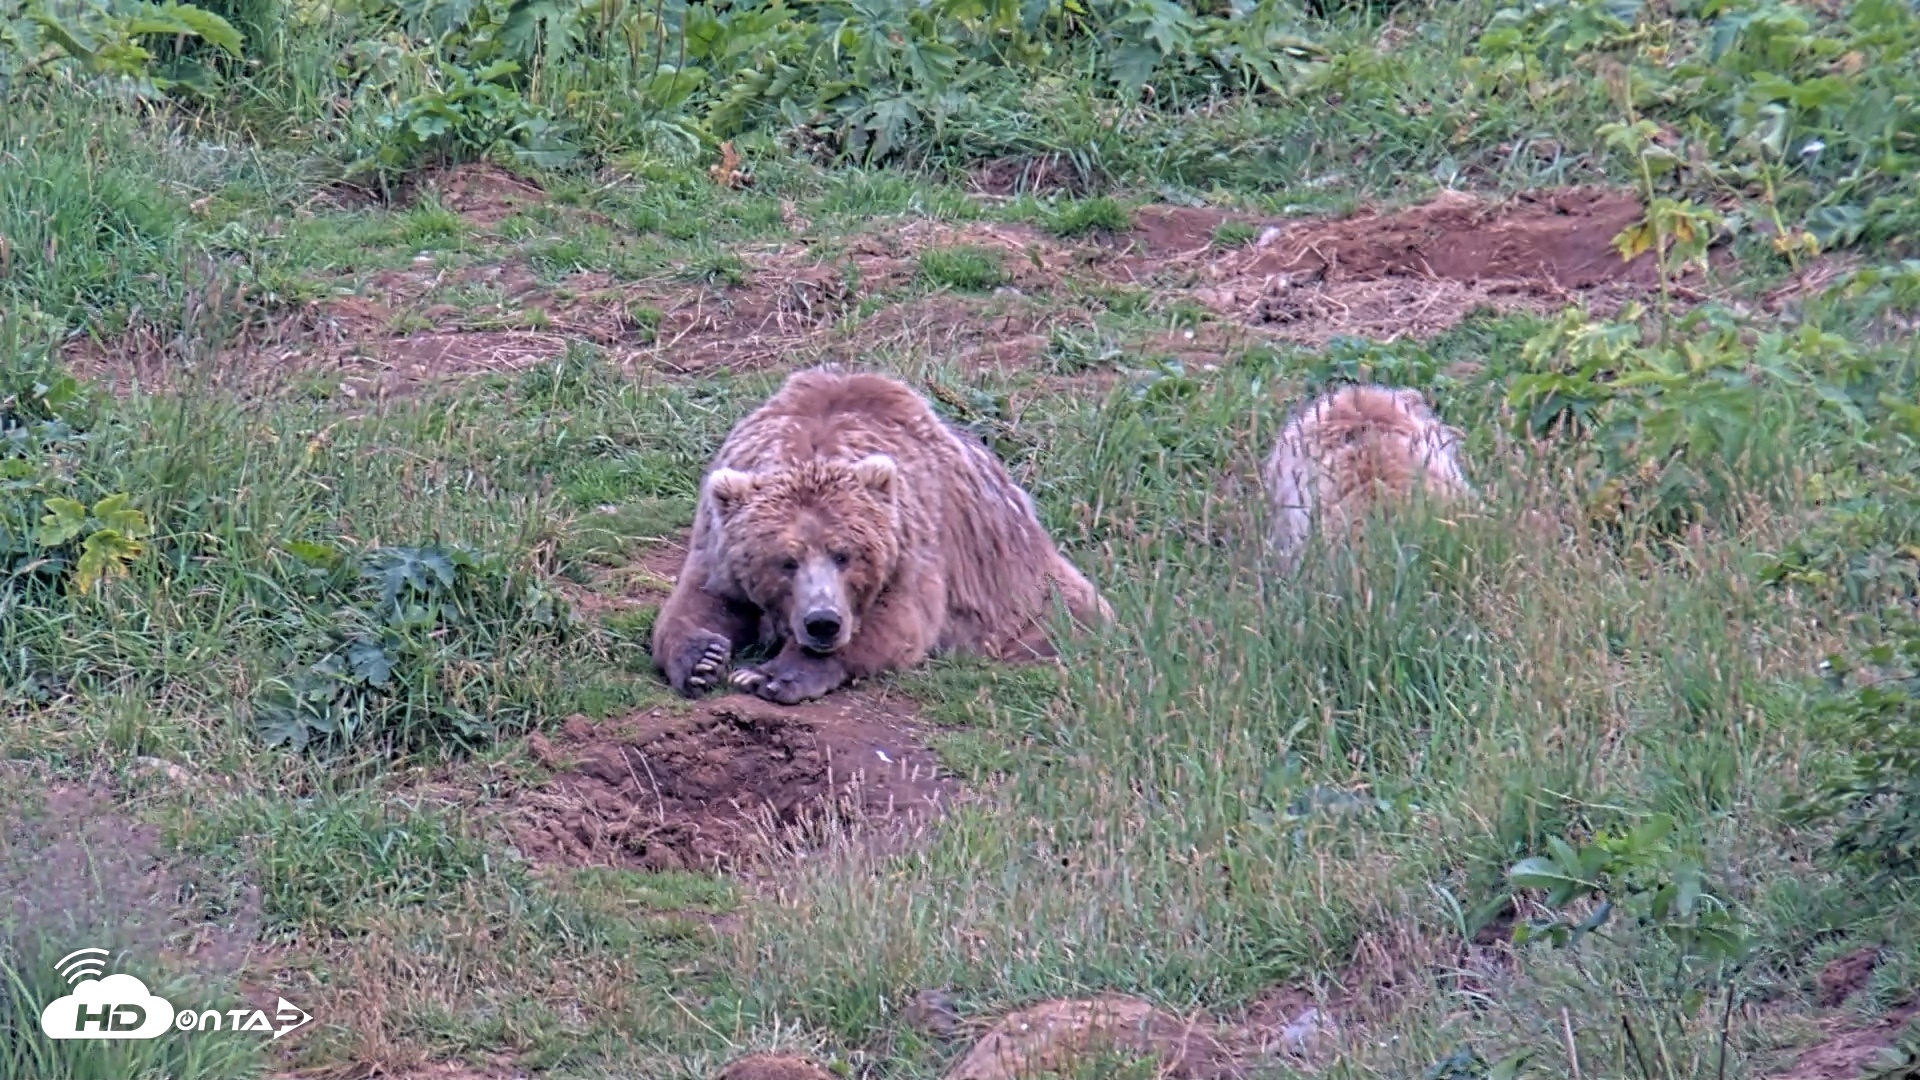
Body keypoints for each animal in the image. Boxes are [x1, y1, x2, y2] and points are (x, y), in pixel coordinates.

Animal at [650, 366, 1113, 705]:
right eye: (785, 560)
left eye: (845, 555)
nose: (823, 622)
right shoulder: (716, 543)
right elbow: (700, 601)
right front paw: (702, 660)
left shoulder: (913, 542)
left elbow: (897, 623)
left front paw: (772, 675)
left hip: (1027, 596)